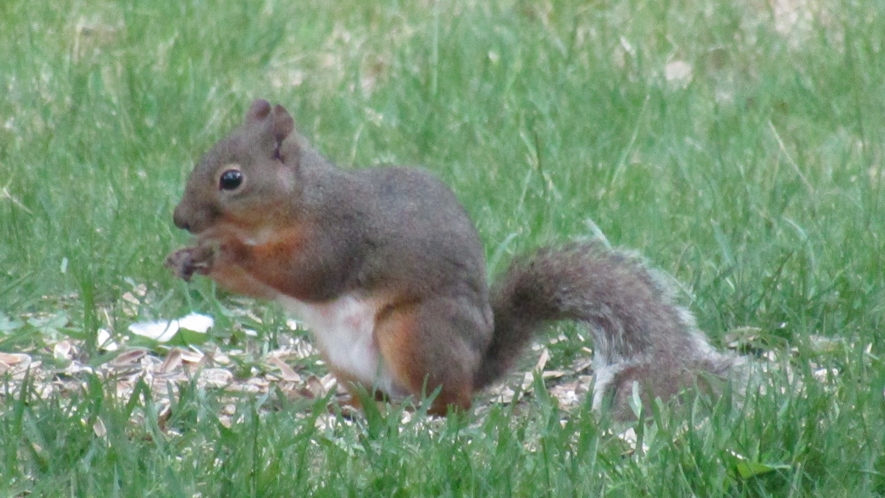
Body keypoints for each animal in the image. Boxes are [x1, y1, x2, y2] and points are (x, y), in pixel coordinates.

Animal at [162, 100, 744, 420]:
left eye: (231, 179)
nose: (180, 218)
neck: (298, 200)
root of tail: (476, 365)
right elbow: (262, 284)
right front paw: (192, 258)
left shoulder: (339, 237)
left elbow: (305, 275)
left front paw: (226, 248)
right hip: (343, 356)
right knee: (379, 395)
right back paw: (351, 407)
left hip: (414, 330)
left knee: (453, 401)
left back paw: (426, 410)